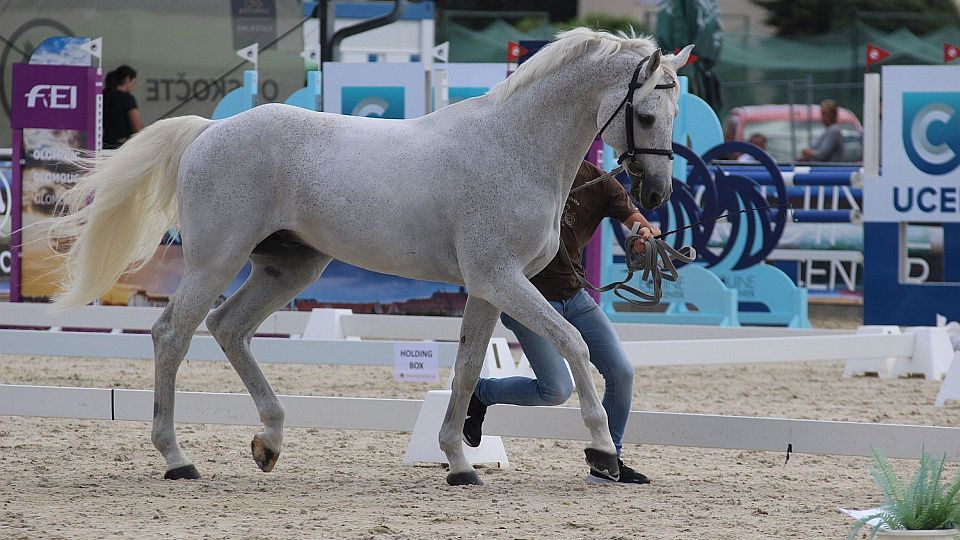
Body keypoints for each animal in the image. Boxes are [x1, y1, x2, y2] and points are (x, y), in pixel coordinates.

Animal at [50, 28, 693, 486]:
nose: (655, 195)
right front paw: (602, 451)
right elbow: (575, 344)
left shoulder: (488, 287)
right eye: (645, 113)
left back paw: (269, 442)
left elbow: (466, 369)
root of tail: (210, 130)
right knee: (172, 334)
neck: (515, 148)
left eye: (675, 112)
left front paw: (460, 463)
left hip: (289, 266)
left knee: (228, 327)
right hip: (215, 261)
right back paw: (177, 458)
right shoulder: (501, 278)